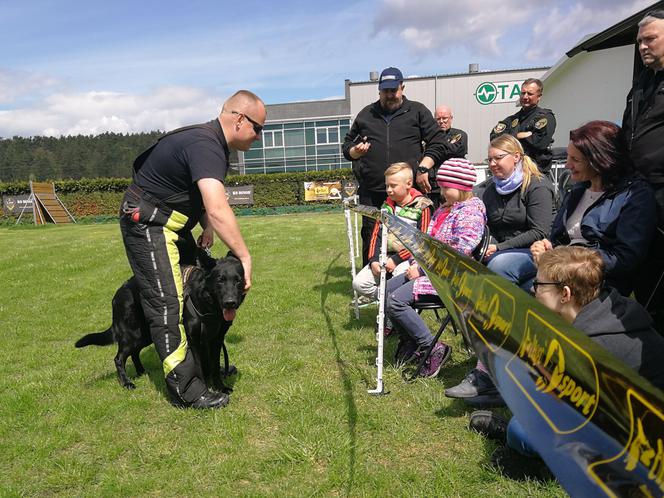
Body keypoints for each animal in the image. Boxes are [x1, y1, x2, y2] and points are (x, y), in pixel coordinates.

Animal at [76, 251, 245, 392]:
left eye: (238, 281)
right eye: (220, 280)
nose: (230, 303)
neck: (207, 305)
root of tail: (118, 293)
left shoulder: (216, 340)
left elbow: (214, 366)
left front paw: (220, 387)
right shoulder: (193, 341)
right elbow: (199, 367)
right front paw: (205, 390)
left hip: (145, 335)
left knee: (135, 353)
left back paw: (141, 371)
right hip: (133, 335)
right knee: (118, 358)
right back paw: (126, 382)